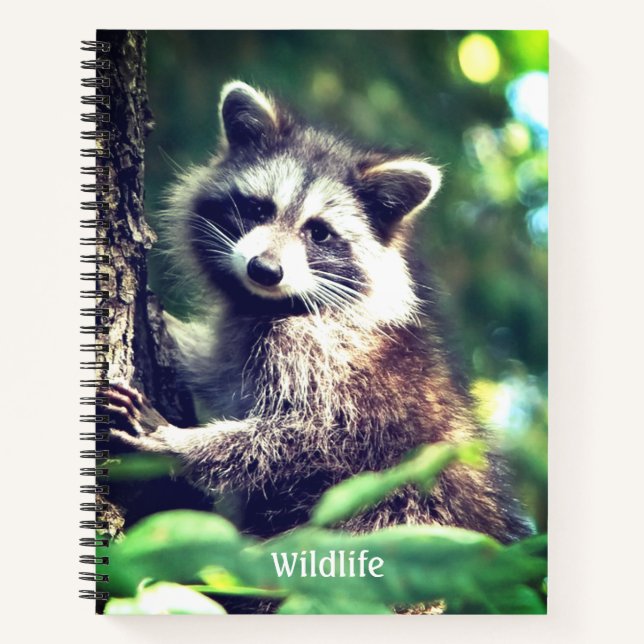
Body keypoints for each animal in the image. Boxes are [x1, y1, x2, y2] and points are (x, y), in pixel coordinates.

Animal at [108, 81, 531, 543]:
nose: (264, 270)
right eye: (259, 209)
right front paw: (170, 329)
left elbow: (309, 437)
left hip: (401, 513)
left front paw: (178, 444)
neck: (270, 304)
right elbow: (217, 369)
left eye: (319, 233)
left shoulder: (328, 359)